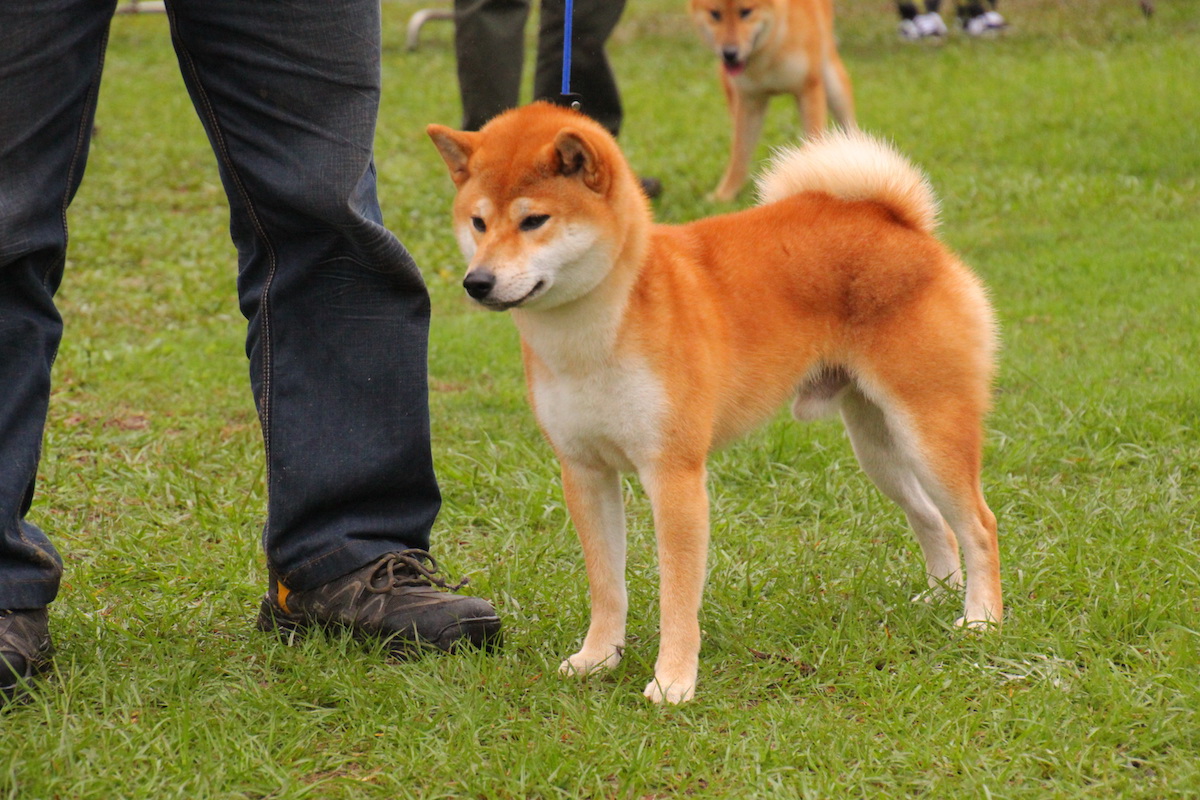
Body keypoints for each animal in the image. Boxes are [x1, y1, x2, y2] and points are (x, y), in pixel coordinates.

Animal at [427, 103, 998, 705]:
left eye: (534, 220)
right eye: (478, 223)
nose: (477, 281)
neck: (595, 333)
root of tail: (898, 223)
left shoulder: (674, 475)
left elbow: (678, 597)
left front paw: (673, 681)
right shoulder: (584, 470)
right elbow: (607, 585)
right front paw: (598, 658)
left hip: (928, 428)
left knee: (979, 525)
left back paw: (981, 619)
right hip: (879, 448)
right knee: (932, 519)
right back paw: (941, 596)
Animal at [691, 0, 859, 203]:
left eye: (746, 12)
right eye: (715, 14)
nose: (729, 53)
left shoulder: (809, 90)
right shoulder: (749, 102)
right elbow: (739, 154)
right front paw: (724, 195)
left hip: (833, 82)